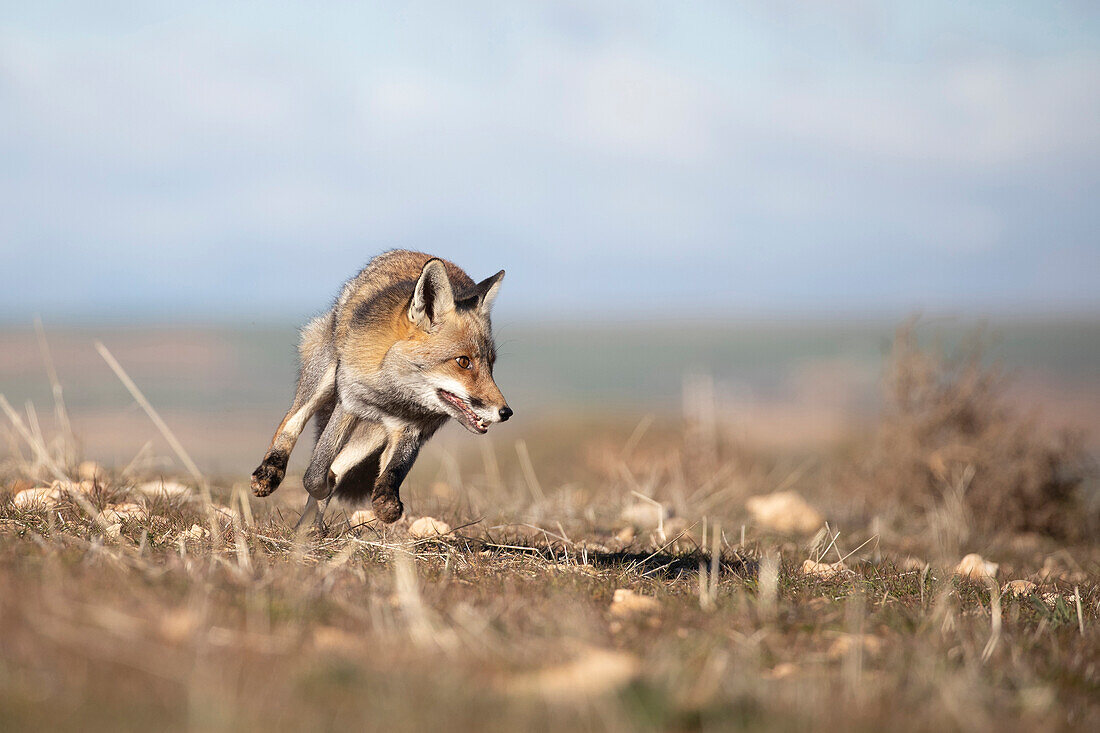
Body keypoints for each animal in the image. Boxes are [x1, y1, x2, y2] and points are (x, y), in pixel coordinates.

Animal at [253, 249, 514, 526]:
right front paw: (317, 485)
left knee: (340, 463)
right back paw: (270, 473)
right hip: (324, 374)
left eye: (491, 364)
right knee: (291, 422)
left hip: (373, 434)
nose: (506, 412)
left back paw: (308, 528)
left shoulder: (412, 429)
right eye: (463, 362)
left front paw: (386, 502)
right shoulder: (349, 402)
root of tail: (412, 251)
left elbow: (393, 470)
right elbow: (314, 474)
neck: (393, 396)